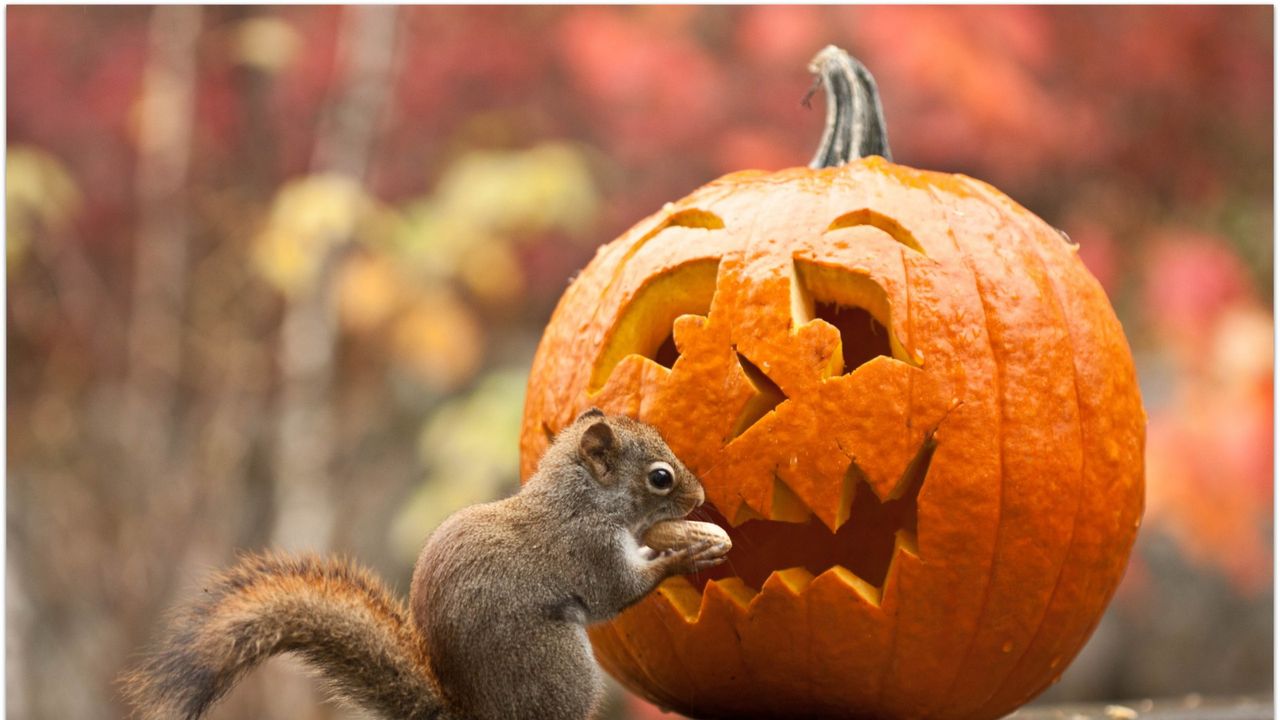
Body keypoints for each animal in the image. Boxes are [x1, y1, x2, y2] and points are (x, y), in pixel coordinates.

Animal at [123, 409, 727, 717]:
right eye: (660, 477)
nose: (700, 497)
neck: (579, 498)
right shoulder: (588, 549)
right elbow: (617, 593)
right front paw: (683, 552)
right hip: (562, 670)